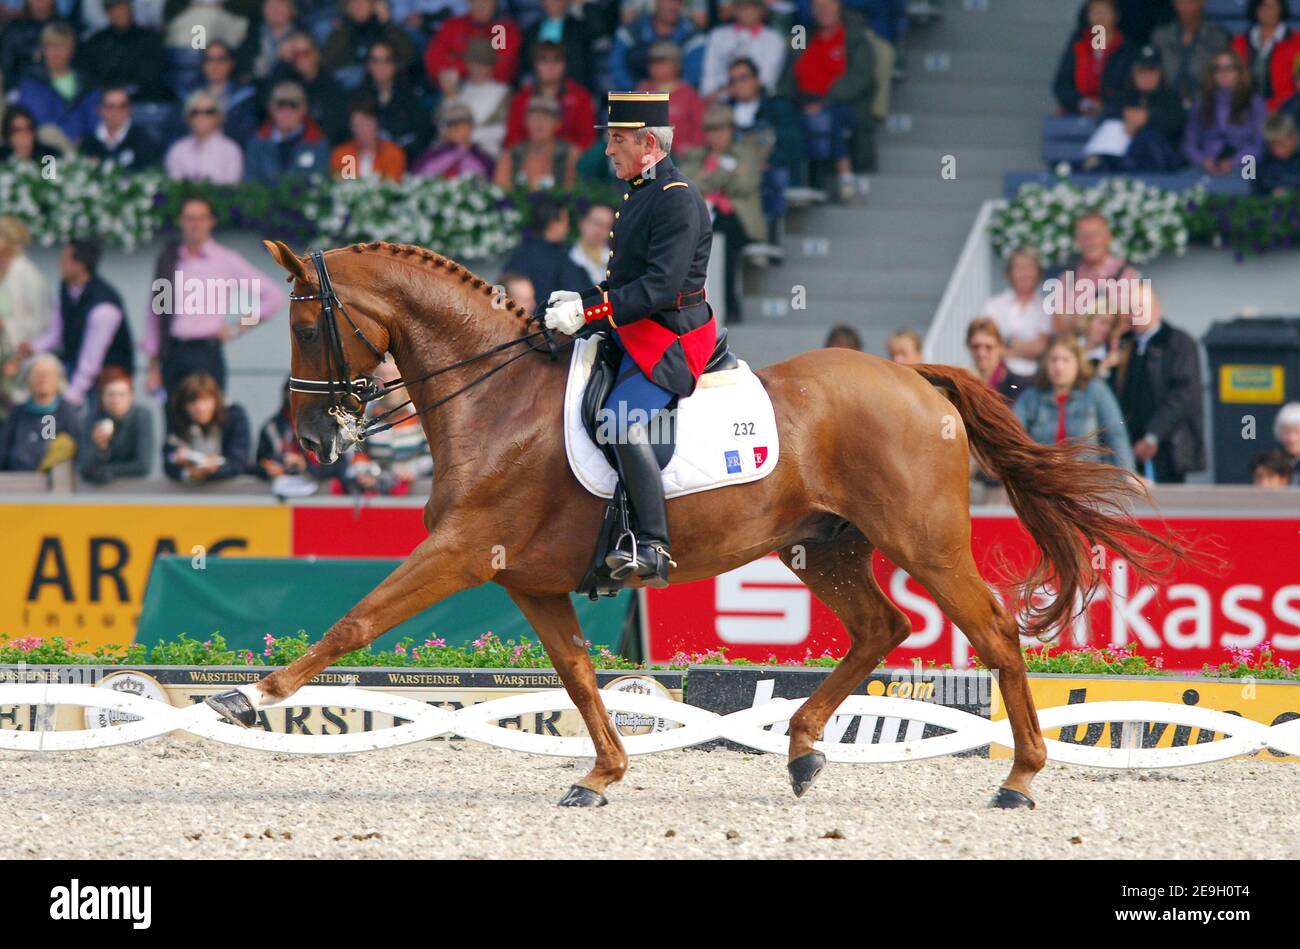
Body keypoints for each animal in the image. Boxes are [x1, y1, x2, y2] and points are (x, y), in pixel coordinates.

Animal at [207, 239, 1191, 809]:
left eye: (306, 324)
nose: (308, 437)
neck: (493, 397)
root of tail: (916, 378)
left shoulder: (459, 552)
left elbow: (355, 619)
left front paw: (246, 696)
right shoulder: (529, 580)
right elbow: (579, 677)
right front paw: (602, 773)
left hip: (926, 541)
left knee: (990, 633)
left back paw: (1020, 777)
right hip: (822, 546)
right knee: (882, 625)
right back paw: (801, 751)